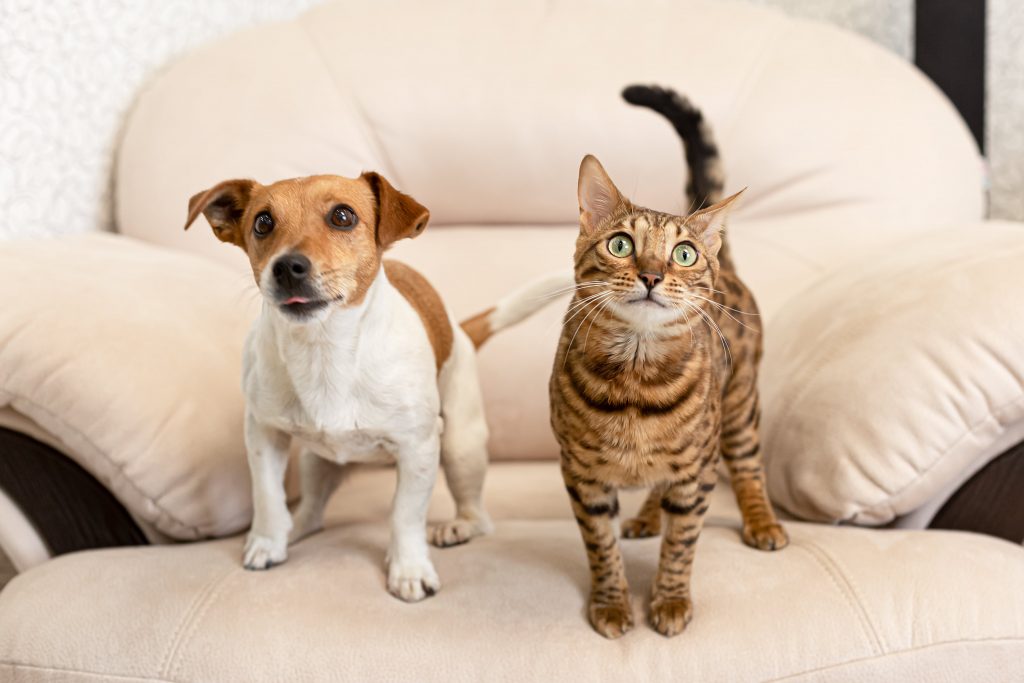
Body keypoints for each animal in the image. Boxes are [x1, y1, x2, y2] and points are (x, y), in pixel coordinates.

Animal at [188, 174, 565, 602]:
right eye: (262, 223)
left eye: (343, 216)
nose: (286, 267)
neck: (324, 350)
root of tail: (459, 329)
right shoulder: (263, 434)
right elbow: (267, 496)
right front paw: (268, 543)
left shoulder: (419, 448)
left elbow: (404, 514)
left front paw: (409, 570)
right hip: (316, 461)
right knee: (313, 513)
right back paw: (294, 527)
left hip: (461, 446)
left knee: (479, 515)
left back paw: (460, 526)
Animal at [548, 87, 786, 643]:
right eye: (620, 244)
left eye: (683, 254)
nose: (653, 275)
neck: (636, 383)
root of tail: (729, 267)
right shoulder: (582, 476)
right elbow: (601, 547)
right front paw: (612, 604)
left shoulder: (697, 471)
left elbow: (682, 545)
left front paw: (672, 600)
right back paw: (646, 516)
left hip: (738, 409)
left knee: (747, 466)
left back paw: (761, 521)